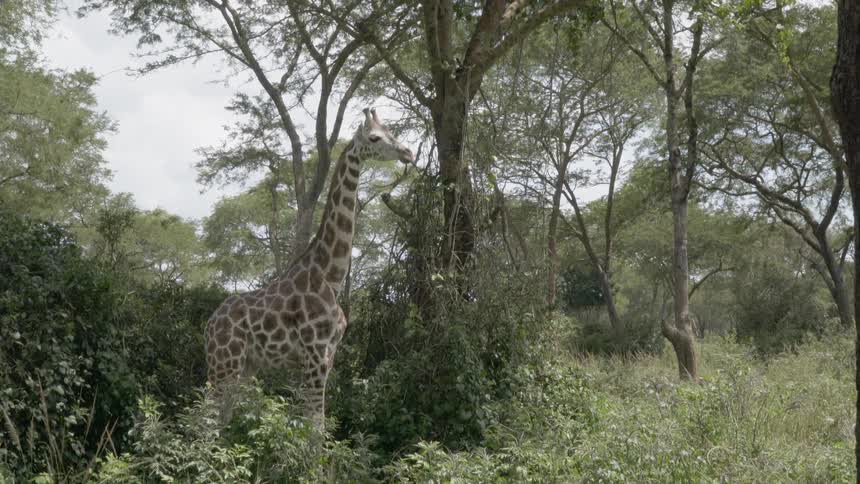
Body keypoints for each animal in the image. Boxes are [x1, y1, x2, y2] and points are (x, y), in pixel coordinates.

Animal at [205, 108, 414, 428]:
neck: (331, 277)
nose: (408, 153)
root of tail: (209, 324)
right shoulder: (315, 354)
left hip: (245, 365)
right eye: (375, 138)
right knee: (204, 420)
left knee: (222, 418)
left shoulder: (329, 355)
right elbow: (315, 425)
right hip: (223, 362)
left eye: (392, 131)